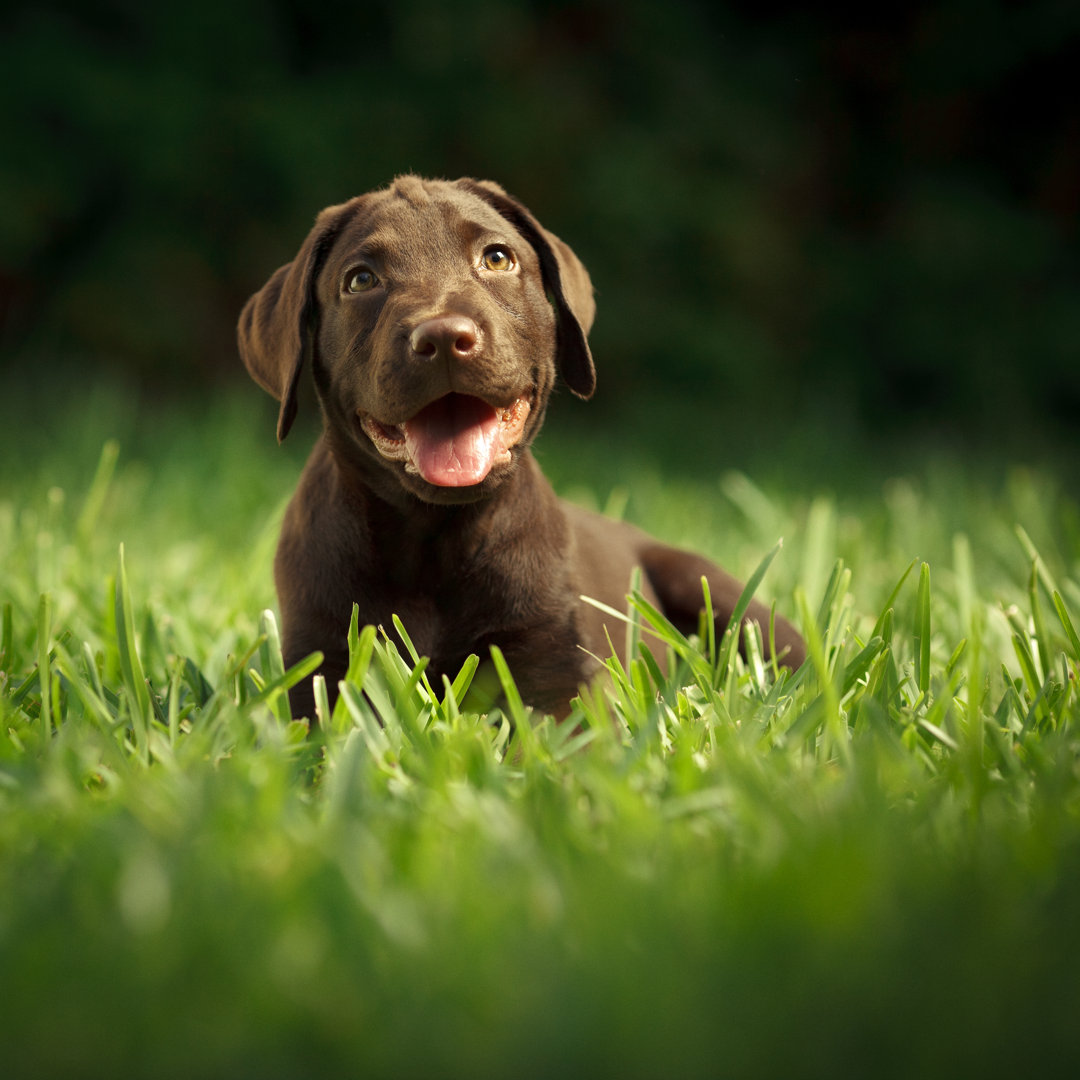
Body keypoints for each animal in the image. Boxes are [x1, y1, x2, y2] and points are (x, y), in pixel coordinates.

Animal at [240, 177, 807, 717]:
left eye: (497, 258)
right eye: (360, 280)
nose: (443, 338)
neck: (434, 538)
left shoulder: (555, 672)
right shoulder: (323, 666)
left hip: (721, 594)